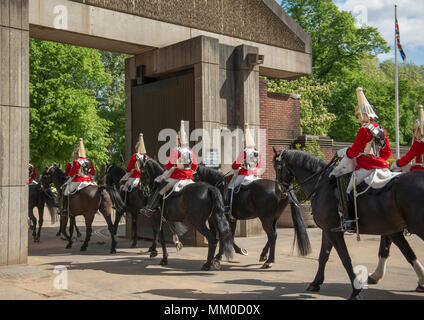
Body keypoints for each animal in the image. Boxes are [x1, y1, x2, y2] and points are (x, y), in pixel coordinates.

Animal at [274, 150, 424, 300]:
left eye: (277, 167)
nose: (278, 193)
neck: (321, 185)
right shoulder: (328, 230)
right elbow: (323, 256)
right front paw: (315, 283)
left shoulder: (333, 231)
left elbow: (345, 258)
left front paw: (356, 290)